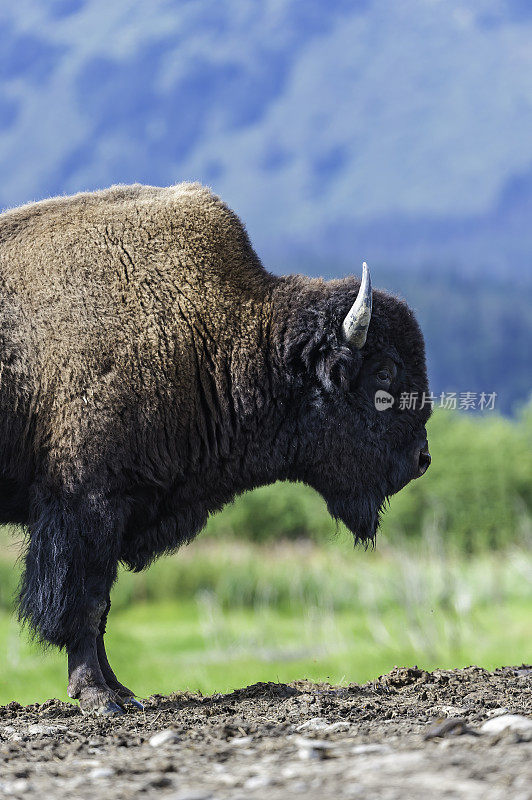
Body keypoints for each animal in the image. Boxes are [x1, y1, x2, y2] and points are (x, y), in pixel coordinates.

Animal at [0, 186, 430, 712]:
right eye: (384, 372)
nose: (422, 459)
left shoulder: (119, 511)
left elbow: (102, 606)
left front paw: (123, 691)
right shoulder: (87, 506)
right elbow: (85, 603)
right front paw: (98, 696)